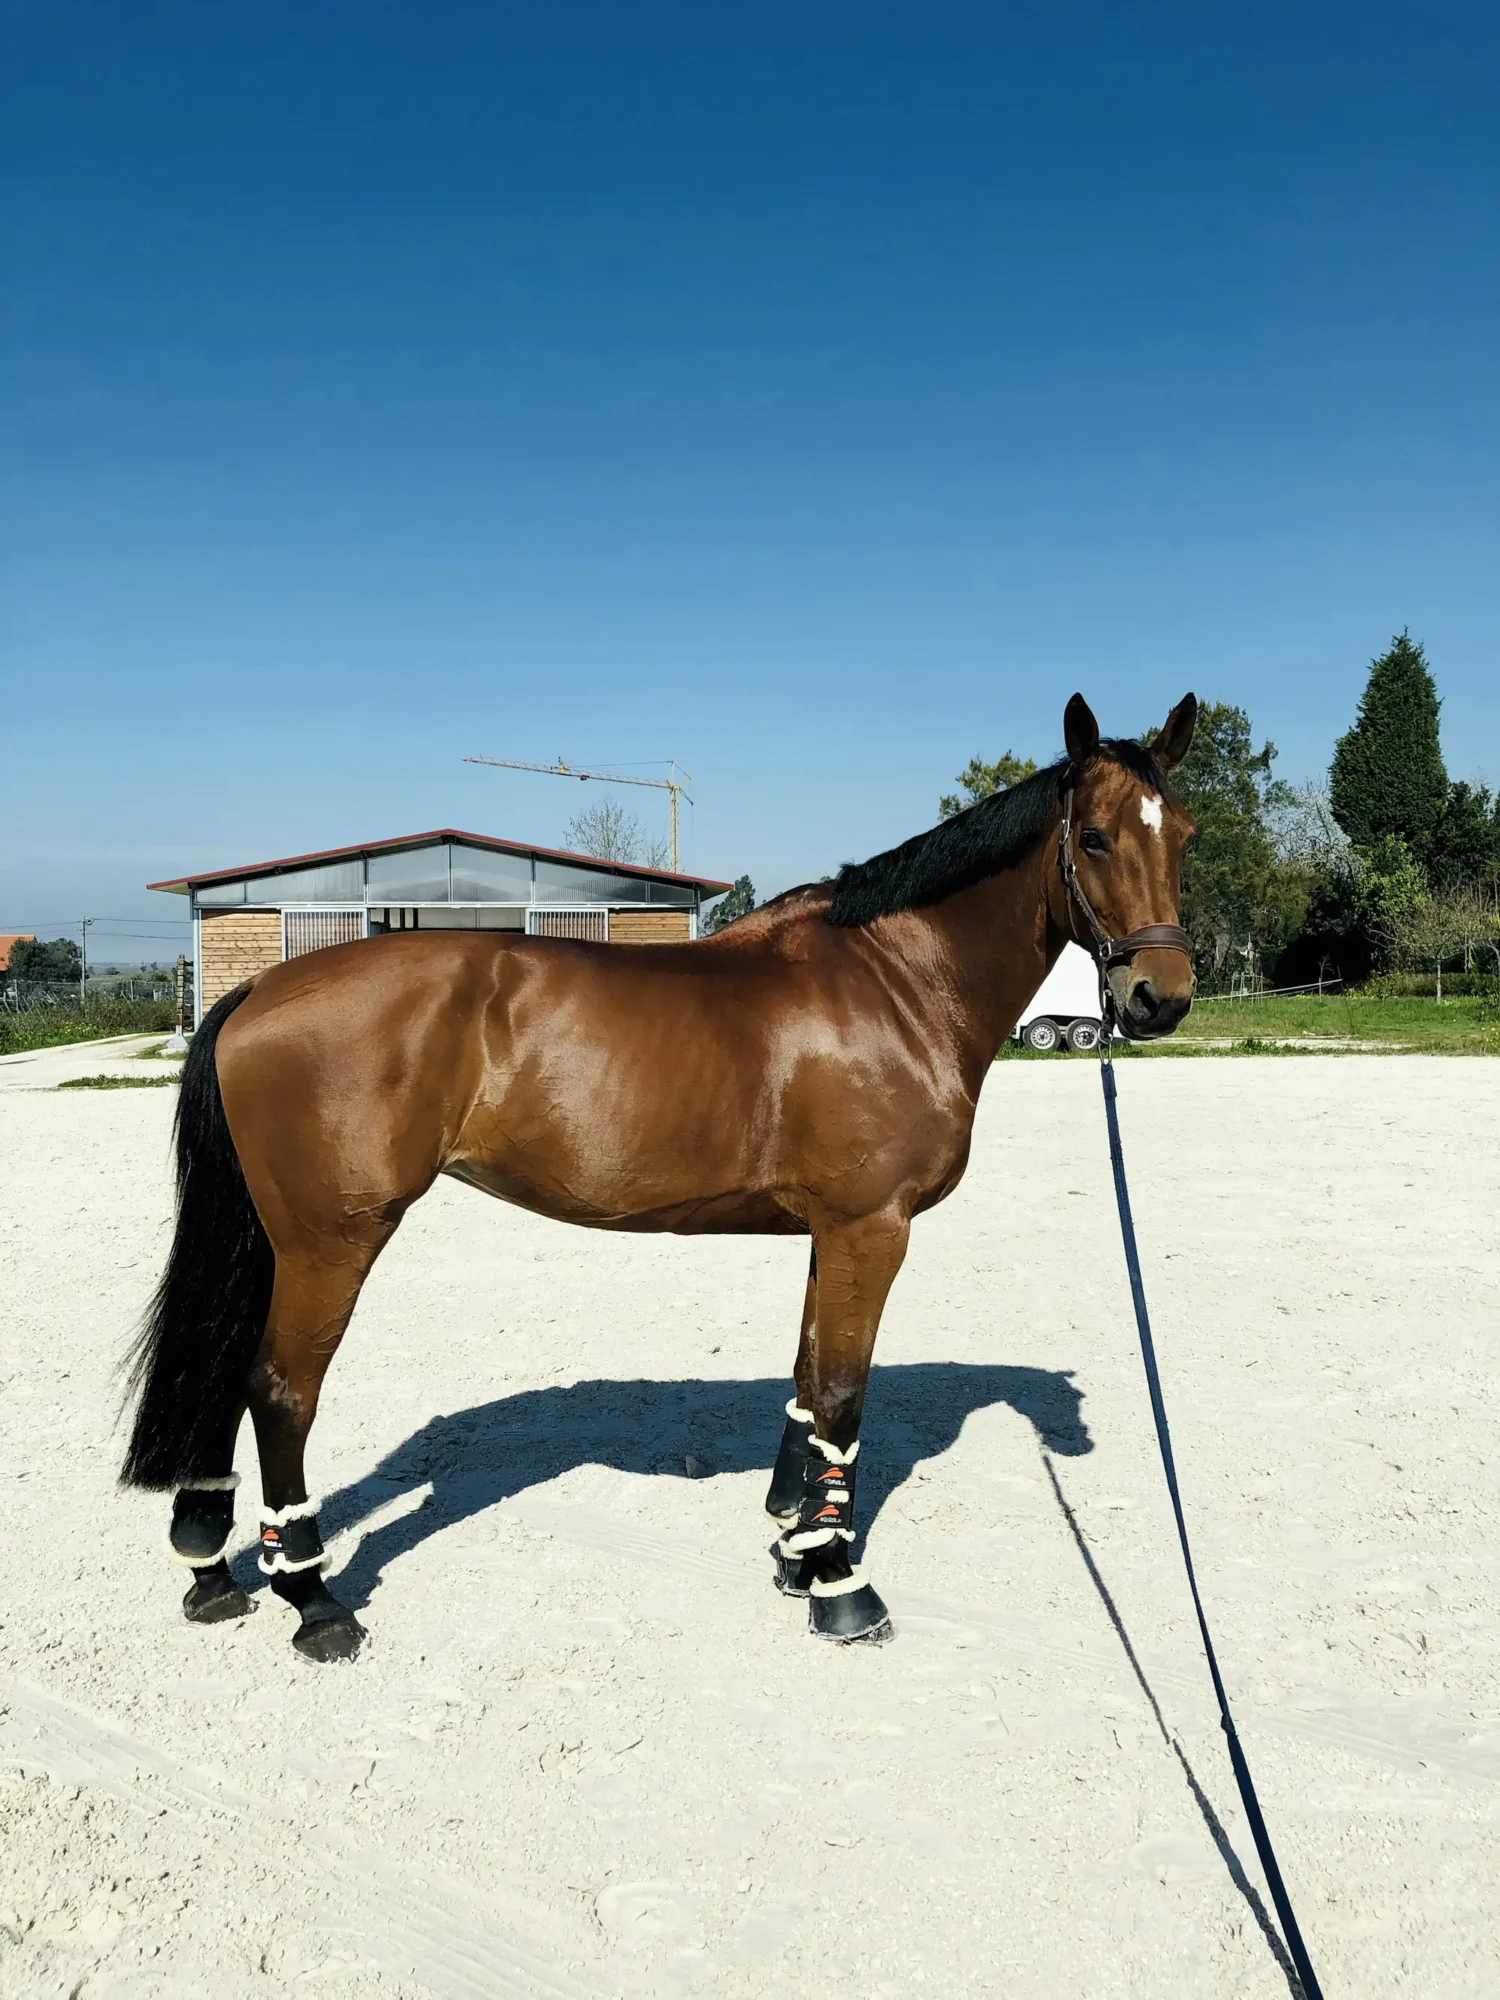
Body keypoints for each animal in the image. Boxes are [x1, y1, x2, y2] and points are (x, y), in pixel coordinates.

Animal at [121, 691, 1197, 1662]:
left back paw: (212, 1567)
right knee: (280, 1390)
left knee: (225, 1365)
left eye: (1182, 834)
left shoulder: (831, 1234)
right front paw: (840, 1586)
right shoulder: (871, 1227)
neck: (895, 983)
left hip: (275, 1237)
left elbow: (809, 1383)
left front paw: (797, 1548)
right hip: (332, 1238)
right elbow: (844, 1398)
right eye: (1094, 837)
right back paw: (313, 1598)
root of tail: (261, 986)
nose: (1161, 997)